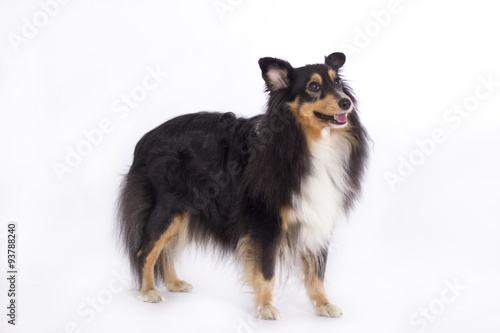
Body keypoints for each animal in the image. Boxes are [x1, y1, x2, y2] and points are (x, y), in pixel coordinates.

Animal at [116, 52, 368, 320]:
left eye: (338, 83)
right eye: (313, 87)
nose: (346, 103)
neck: (307, 141)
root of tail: (145, 139)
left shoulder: (317, 215)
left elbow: (317, 271)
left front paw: (323, 305)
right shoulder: (265, 221)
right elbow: (267, 270)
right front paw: (266, 307)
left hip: (184, 213)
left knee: (167, 249)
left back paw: (174, 283)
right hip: (168, 208)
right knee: (147, 250)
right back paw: (148, 291)